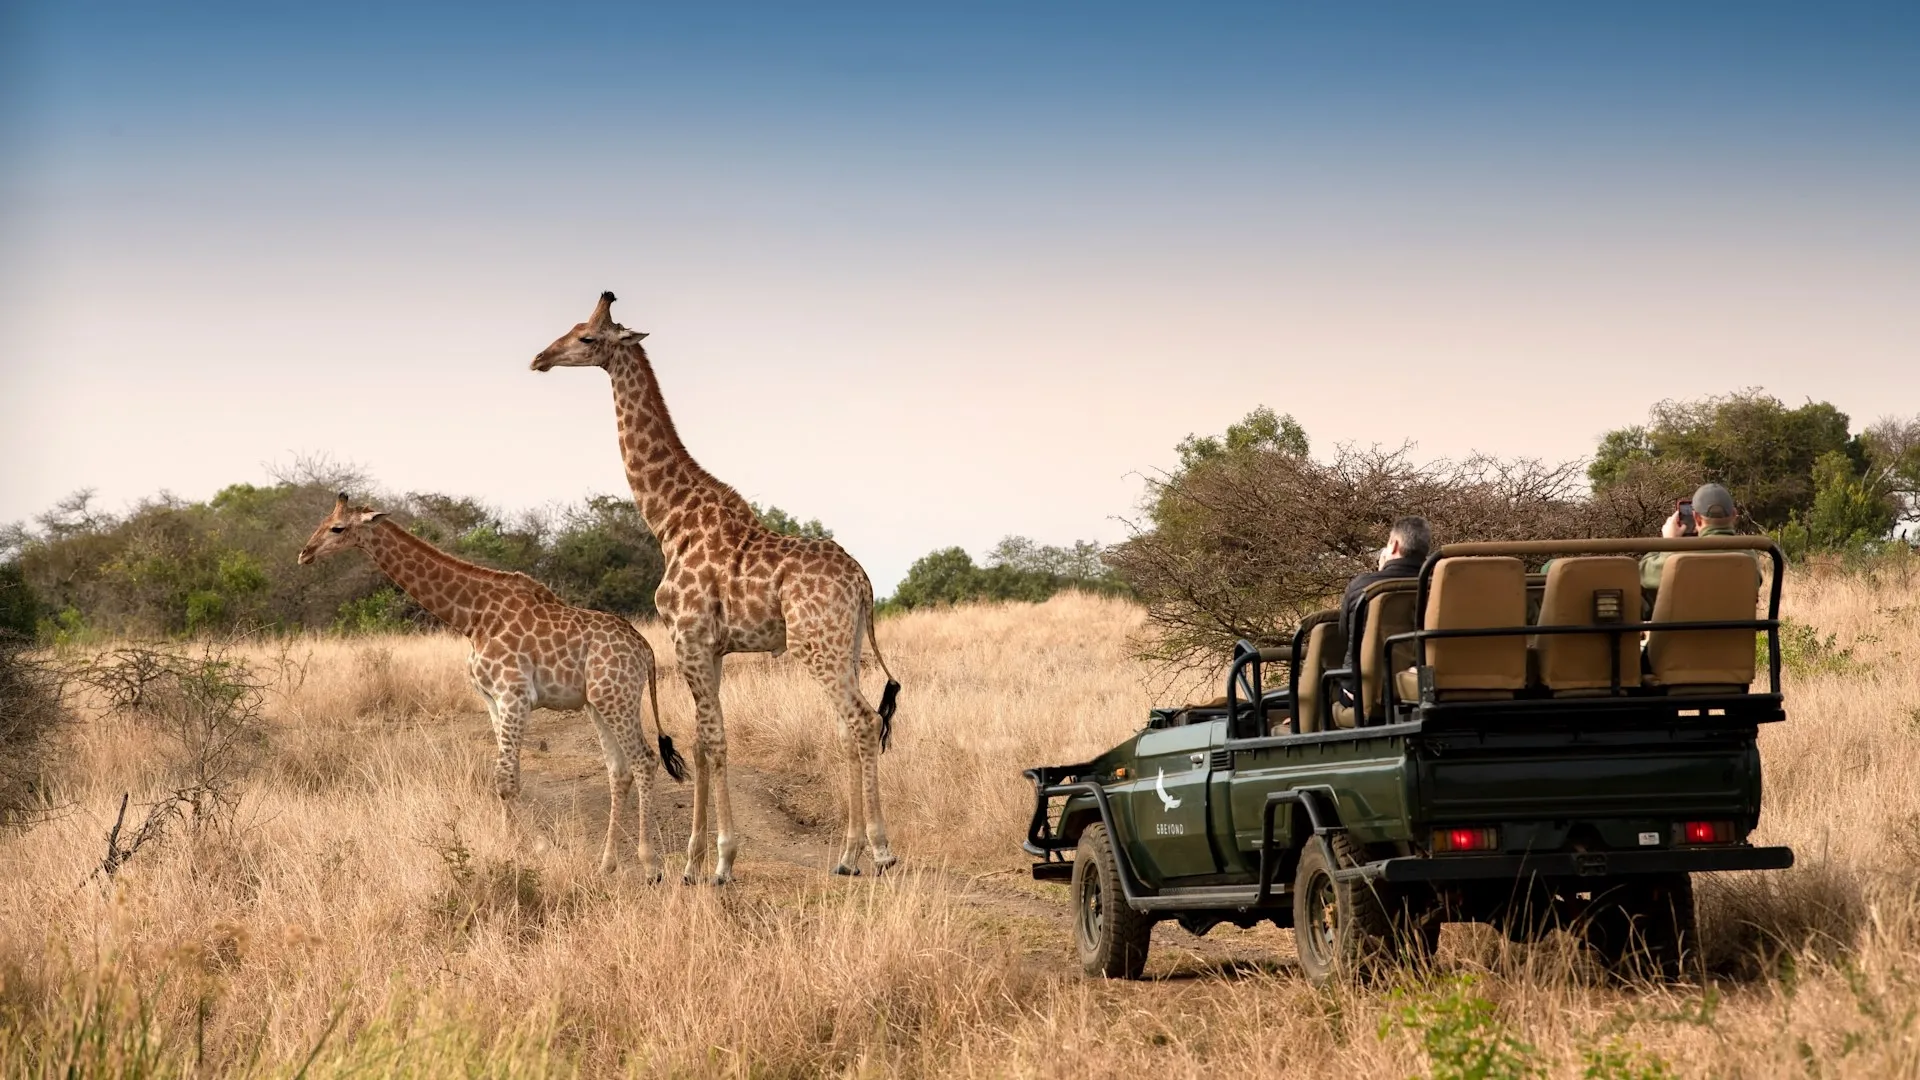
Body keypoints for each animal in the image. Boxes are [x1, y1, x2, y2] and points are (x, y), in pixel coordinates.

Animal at [296, 494, 687, 878]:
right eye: (322, 522)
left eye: (337, 527)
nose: (305, 553)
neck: (473, 617)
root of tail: (645, 649)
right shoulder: (492, 700)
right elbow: (506, 777)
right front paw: (513, 847)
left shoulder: (514, 694)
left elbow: (505, 778)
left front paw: (536, 847)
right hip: (598, 702)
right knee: (619, 771)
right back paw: (606, 864)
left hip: (617, 696)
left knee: (644, 760)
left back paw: (650, 864)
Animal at [531, 291, 901, 885]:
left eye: (586, 337)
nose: (540, 358)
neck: (669, 519)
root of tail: (864, 582)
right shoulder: (712, 647)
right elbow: (702, 742)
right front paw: (692, 861)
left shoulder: (688, 638)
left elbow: (714, 739)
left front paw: (723, 861)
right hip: (843, 646)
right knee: (850, 729)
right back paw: (846, 856)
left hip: (815, 646)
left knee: (863, 722)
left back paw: (880, 850)